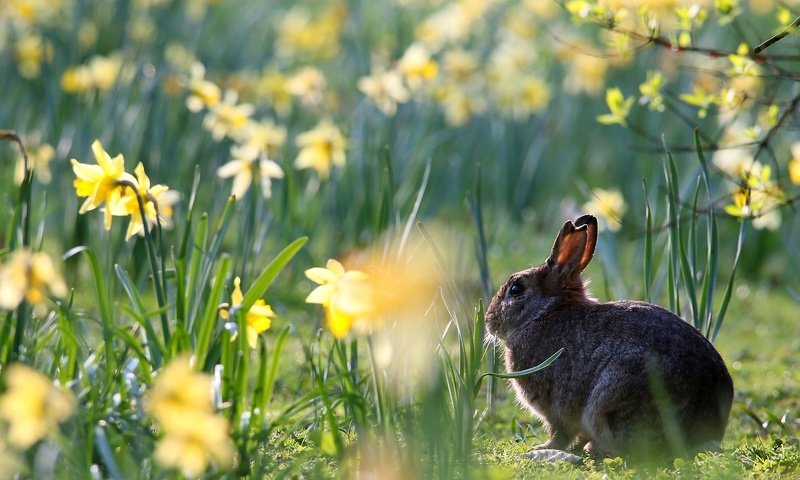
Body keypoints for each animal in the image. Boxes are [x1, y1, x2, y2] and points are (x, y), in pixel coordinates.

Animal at [484, 216, 736, 464]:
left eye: (516, 289)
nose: (488, 320)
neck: (544, 312)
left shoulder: (555, 408)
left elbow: (560, 433)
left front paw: (543, 447)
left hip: (612, 397)